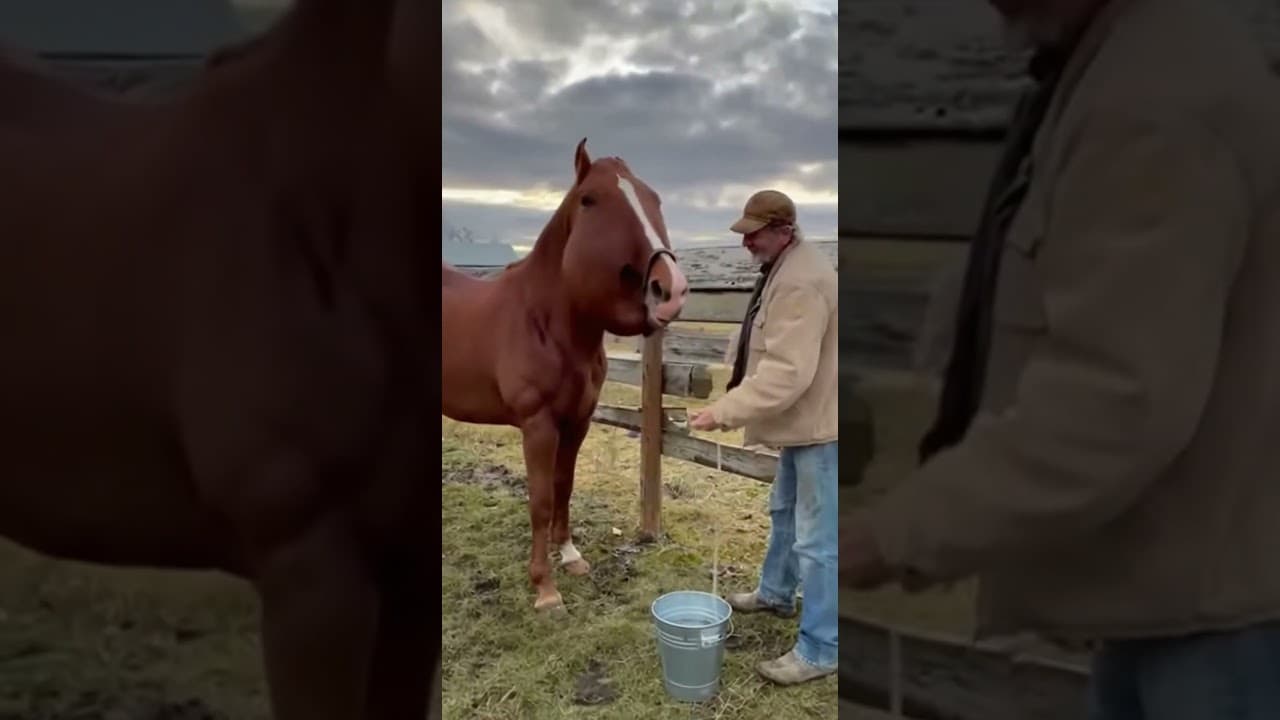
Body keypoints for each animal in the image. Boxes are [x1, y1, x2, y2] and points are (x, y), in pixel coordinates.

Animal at [442, 139, 689, 612]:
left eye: (654, 199)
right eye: (590, 199)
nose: (671, 289)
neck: (547, 324)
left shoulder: (577, 422)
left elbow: (564, 485)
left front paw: (570, 556)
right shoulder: (537, 425)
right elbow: (539, 499)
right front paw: (544, 586)